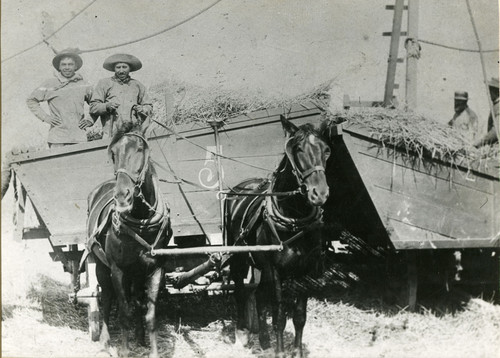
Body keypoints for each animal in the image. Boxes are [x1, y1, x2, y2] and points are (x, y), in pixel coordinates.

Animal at [87, 124, 171, 356]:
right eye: (113, 153)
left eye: (140, 149)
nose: (122, 196)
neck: (141, 223)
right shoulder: (118, 270)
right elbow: (124, 311)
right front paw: (124, 350)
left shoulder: (156, 269)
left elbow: (150, 313)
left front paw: (153, 351)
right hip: (102, 267)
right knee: (107, 299)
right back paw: (105, 340)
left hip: (138, 273)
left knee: (138, 299)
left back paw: (140, 337)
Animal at [225, 116, 330, 356]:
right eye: (298, 149)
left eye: (327, 150)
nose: (319, 194)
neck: (294, 220)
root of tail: (239, 188)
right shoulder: (275, 270)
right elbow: (280, 315)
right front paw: (281, 352)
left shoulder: (306, 270)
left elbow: (299, 316)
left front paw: (297, 351)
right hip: (239, 256)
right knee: (240, 289)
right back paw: (242, 331)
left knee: (258, 296)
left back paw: (264, 340)